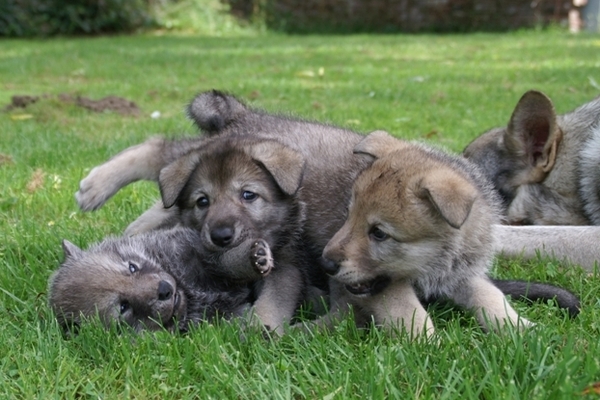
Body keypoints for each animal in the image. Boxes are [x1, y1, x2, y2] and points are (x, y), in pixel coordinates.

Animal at [48, 227, 274, 332]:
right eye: (123, 307)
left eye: (132, 267)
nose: (165, 289)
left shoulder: (195, 248)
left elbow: (223, 260)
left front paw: (255, 257)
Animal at [322, 132, 580, 338]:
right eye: (348, 215)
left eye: (378, 233)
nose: (326, 264)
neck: (441, 262)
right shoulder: (385, 288)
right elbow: (406, 309)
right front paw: (426, 343)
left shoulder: (463, 274)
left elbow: (491, 295)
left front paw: (520, 328)